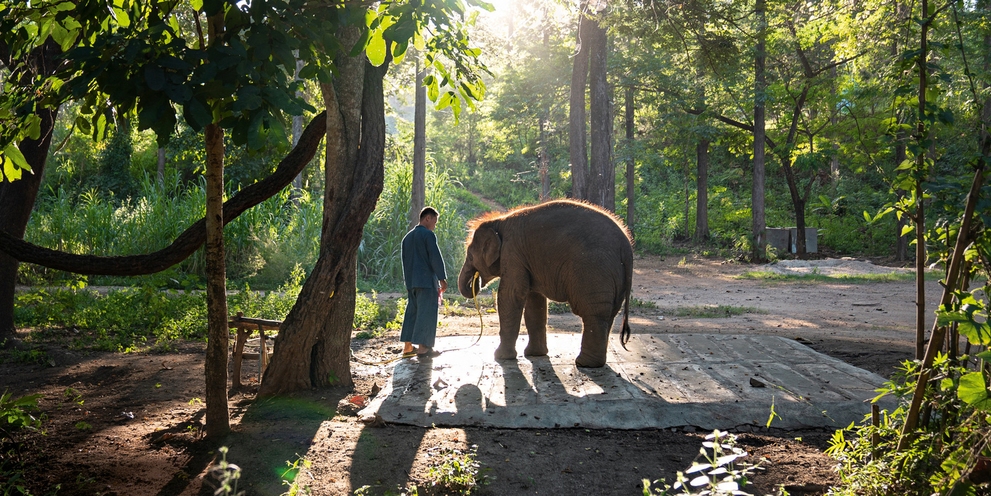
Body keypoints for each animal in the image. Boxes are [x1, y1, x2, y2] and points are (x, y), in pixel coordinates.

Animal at [457, 199, 633, 367]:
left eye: (470, 256)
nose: (475, 283)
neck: (499, 221)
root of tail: (626, 246)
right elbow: (535, 301)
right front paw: (534, 355)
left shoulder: (512, 253)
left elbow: (510, 296)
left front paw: (500, 357)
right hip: (615, 278)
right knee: (608, 314)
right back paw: (595, 363)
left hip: (593, 271)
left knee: (593, 313)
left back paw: (585, 364)